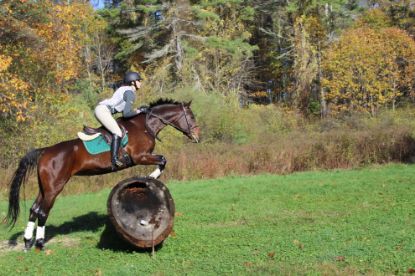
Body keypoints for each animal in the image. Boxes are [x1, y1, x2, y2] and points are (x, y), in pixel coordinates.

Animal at [5, 98, 201, 250]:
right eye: (191, 116)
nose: (197, 137)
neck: (145, 125)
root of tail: (45, 151)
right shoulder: (140, 157)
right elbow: (162, 160)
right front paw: (152, 177)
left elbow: (163, 161)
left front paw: (151, 179)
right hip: (55, 187)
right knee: (43, 212)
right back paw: (39, 243)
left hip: (44, 187)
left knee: (34, 209)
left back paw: (27, 242)